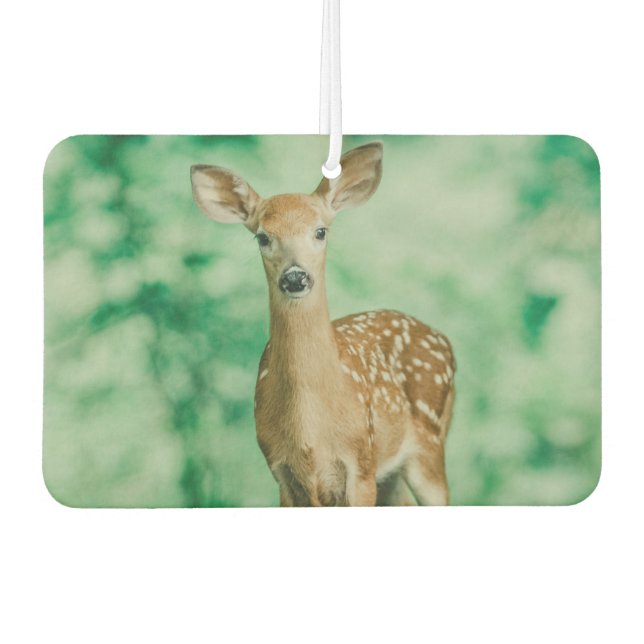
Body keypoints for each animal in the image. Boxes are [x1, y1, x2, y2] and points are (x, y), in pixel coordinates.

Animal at [191, 142, 456, 506]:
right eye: (262, 237)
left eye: (320, 231)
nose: (295, 276)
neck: (309, 431)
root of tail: (444, 339)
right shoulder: (282, 473)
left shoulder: (361, 462)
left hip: (429, 443)